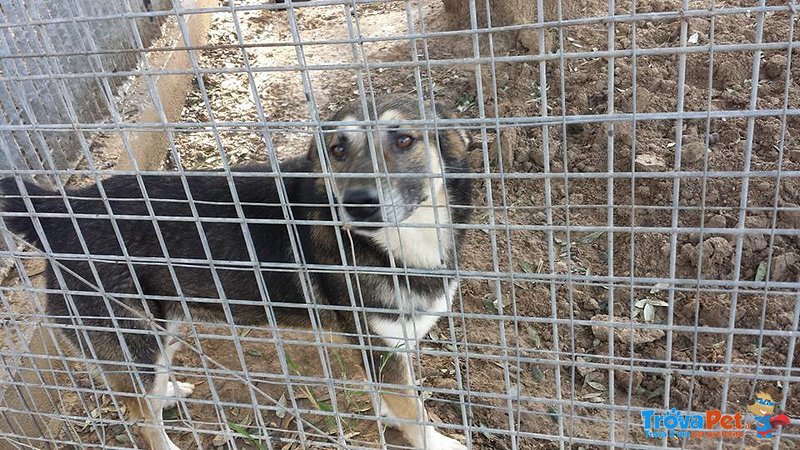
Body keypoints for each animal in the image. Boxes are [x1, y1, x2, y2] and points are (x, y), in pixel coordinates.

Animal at [0, 95, 472, 450]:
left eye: (405, 140)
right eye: (338, 150)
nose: (358, 202)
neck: (401, 245)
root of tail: (64, 209)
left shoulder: (386, 349)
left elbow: (395, 398)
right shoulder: (380, 346)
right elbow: (413, 413)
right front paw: (437, 442)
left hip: (161, 328)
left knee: (145, 395)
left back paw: (167, 394)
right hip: (132, 338)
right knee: (143, 423)